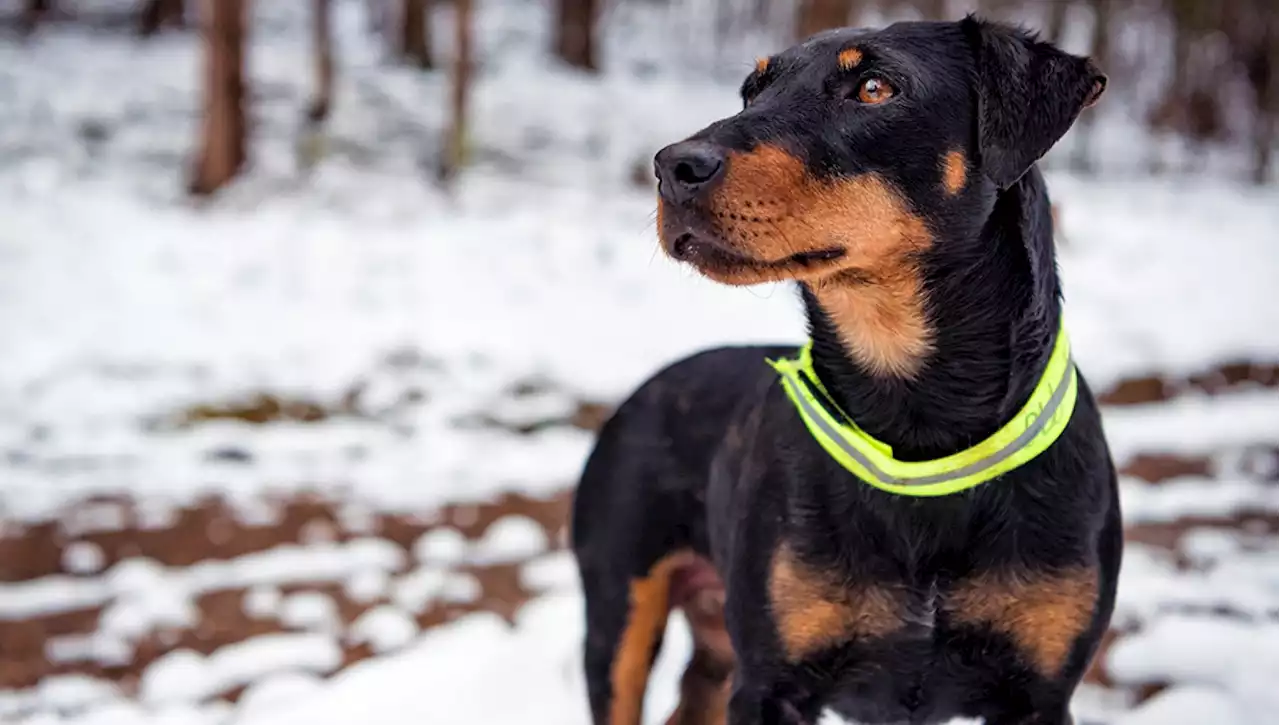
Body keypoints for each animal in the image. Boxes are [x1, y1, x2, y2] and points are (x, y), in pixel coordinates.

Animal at [570, 17, 1121, 725]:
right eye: (752, 92)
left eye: (875, 88)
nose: (673, 166)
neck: (919, 427)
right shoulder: (770, 683)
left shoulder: (1041, 692)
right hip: (620, 613)